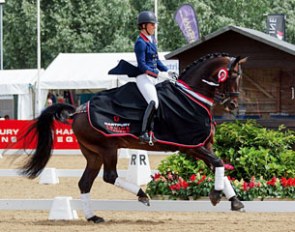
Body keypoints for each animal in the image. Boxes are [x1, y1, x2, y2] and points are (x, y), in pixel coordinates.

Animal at [18, 52, 247, 223]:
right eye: (234, 75)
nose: (233, 105)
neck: (191, 97)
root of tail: (78, 111)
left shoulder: (204, 145)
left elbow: (219, 166)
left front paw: (234, 200)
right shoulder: (192, 146)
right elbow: (218, 163)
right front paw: (216, 196)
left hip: (93, 154)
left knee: (85, 183)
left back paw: (93, 217)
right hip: (107, 149)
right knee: (109, 176)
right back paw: (141, 194)